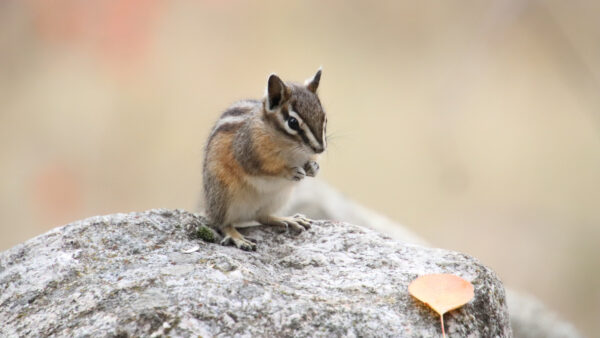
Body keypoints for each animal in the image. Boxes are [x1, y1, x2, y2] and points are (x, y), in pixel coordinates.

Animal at [204, 68, 328, 250]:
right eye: (292, 122)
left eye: (324, 118)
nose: (320, 148)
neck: (291, 147)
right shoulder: (248, 152)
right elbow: (263, 168)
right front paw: (290, 171)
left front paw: (313, 167)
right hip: (224, 195)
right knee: (221, 223)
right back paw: (237, 237)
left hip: (278, 198)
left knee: (262, 216)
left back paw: (289, 219)